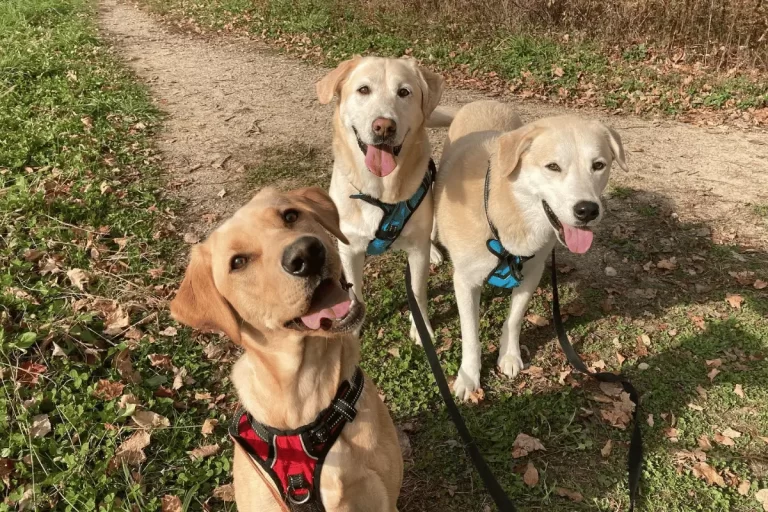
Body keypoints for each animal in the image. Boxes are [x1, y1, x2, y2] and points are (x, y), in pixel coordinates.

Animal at [316, 56, 450, 342]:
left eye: (404, 92)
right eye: (363, 90)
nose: (384, 127)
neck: (380, 192)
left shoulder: (416, 253)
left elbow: (418, 292)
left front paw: (421, 328)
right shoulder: (349, 250)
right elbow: (354, 292)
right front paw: (353, 327)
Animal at [436, 101, 628, 400]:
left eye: (598, 165)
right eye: (553, 166)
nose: (587, 210)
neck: (509, 213)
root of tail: (483, 102)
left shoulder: (532, 273)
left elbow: (514, 319)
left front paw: (509, 356)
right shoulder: (465, 282)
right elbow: (470, 335)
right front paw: (469, 375)